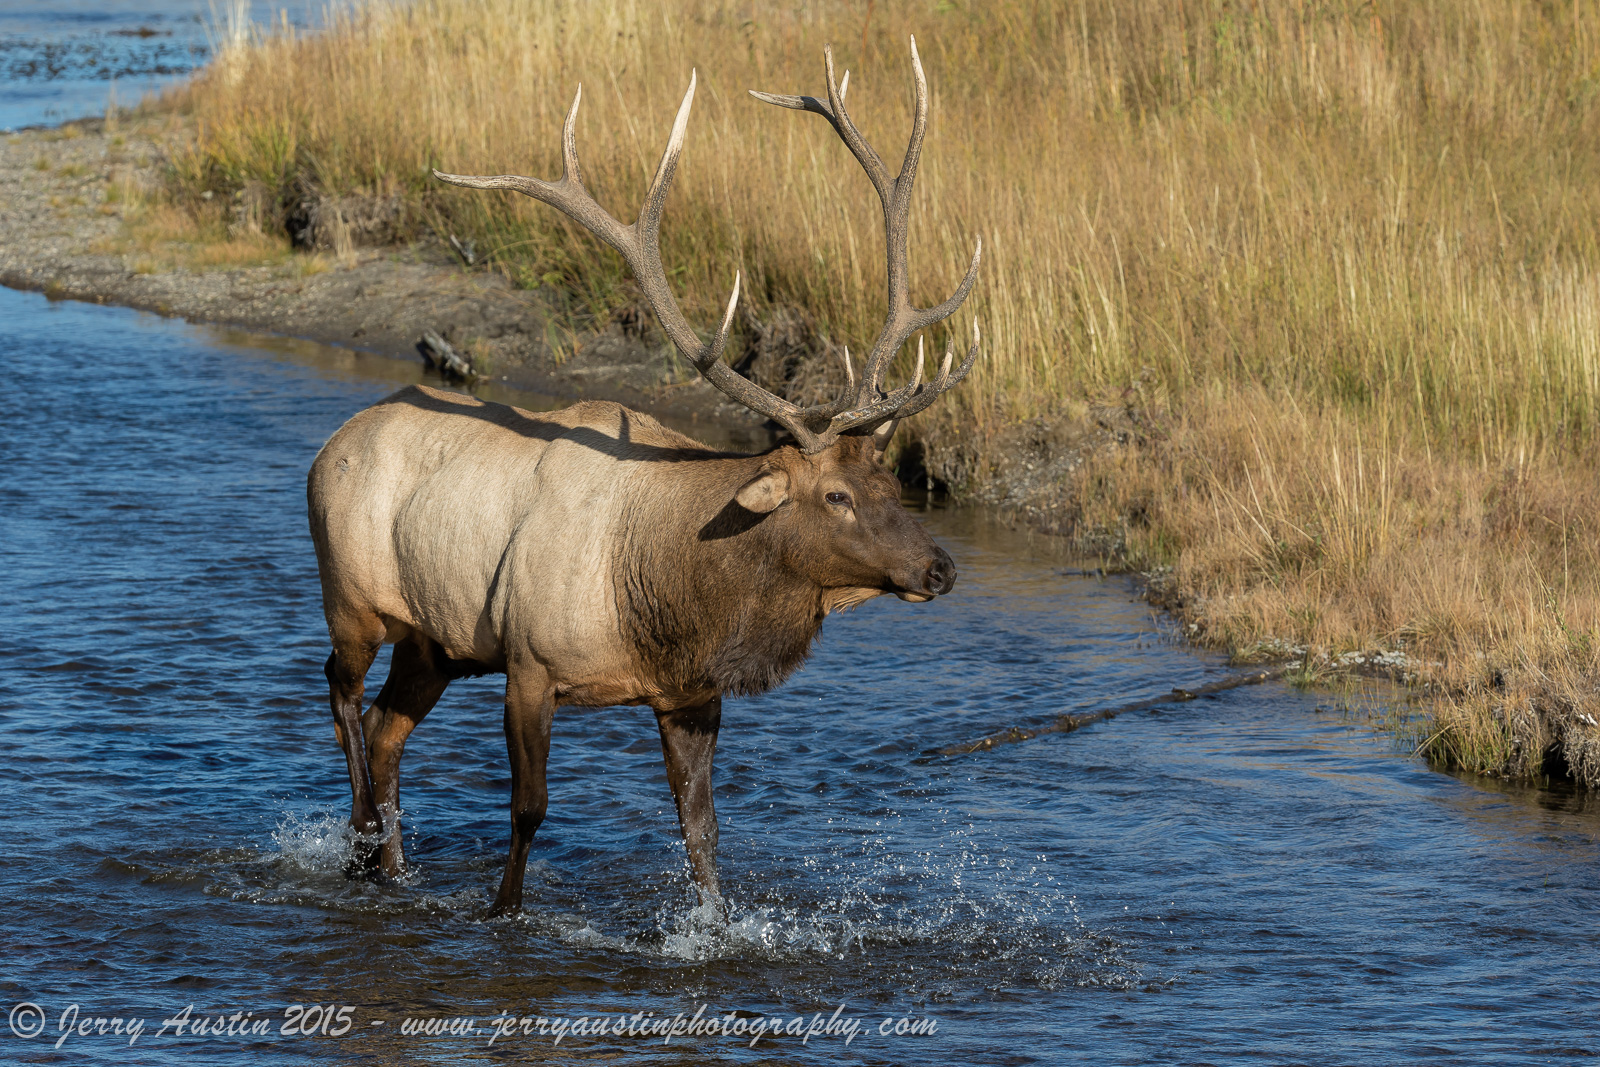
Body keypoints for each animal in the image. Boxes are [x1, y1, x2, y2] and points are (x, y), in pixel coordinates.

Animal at [307, 38, 982, 917]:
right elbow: (529, 809)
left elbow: (702, 830)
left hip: (435, 640)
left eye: (892, 487)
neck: (665, 592)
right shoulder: (529, 662)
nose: (939, 568)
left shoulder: (689, 693)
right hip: (353, 599)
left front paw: (716, 923)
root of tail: (328, 446)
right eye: (834, 495)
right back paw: (356, 843)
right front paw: (502, 911)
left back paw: (389, 865)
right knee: (342, 695)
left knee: (387, 727)